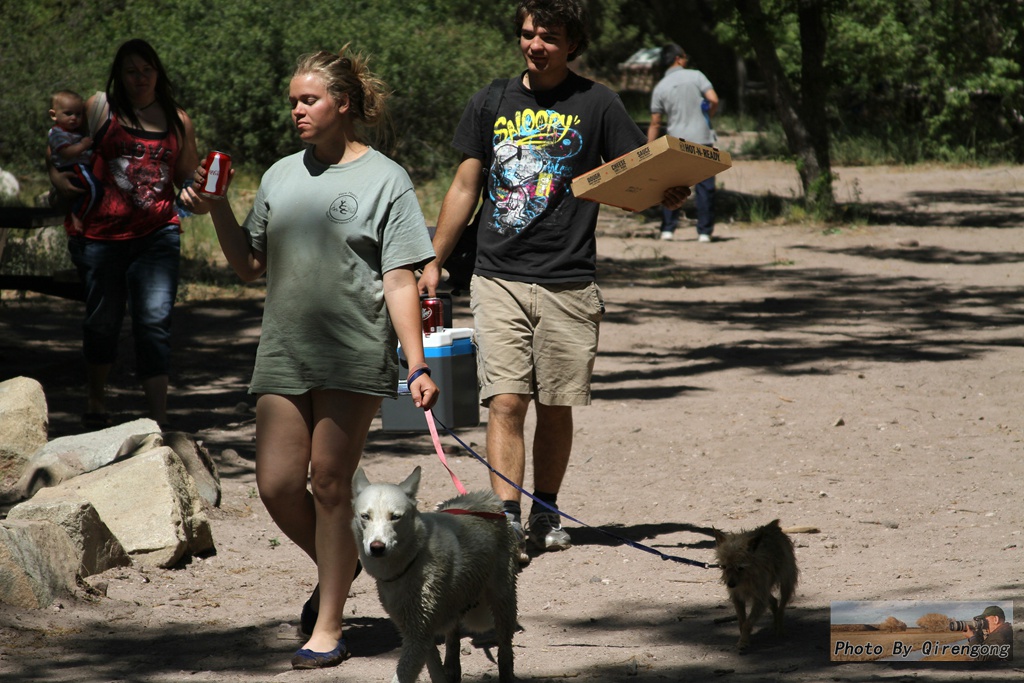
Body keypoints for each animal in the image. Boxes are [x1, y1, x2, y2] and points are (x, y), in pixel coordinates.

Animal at [354, 466, 520, 679]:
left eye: (395, 516)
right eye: (365, 516)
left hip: (503, 600)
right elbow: (435, 671)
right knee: (453, 640)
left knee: (505, 650)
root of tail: (487, 497)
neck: (412, 560)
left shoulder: (418, 636)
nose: (377, 547)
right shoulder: (417, 633)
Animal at [712, 520, 798, 651]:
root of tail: (771, 526)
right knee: (773, 601)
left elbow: (747, 623)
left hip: (786, 583)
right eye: (723, 566)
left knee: (781, 608)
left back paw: (779, 629)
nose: (730, 584)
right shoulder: (738, 598)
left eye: (740, 567)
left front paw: (743, 642)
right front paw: (744, 638)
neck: (746, 578)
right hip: (766, 590)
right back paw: (774, 624)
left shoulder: (759, 600)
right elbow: (742, 622)